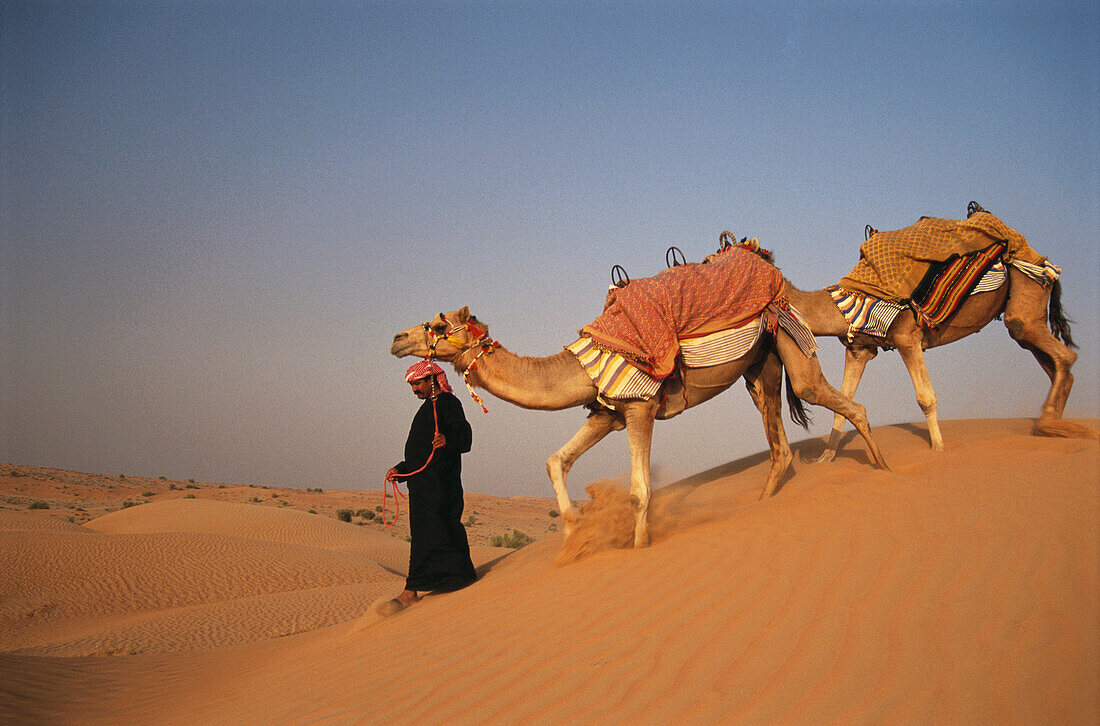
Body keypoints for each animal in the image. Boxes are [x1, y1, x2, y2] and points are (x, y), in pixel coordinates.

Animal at [391, 303, 888, 547]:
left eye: (438, 325)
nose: (397, 338)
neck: (582, 365)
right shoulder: (606, 412)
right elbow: (556, 460)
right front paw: (573, 533)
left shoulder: (640, 408)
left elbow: (639, 489)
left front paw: (638, 546)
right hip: (760, 365)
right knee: (780, 443)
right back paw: (765, 503)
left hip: (788, 341)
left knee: (841, 402)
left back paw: (886, 472)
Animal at [783, 264, 1091, 462]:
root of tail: (1046, 264)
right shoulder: (860, 349)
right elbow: (844, 402)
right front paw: (825, 458)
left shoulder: (907, 337)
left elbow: (925, 398)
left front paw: (939, 449)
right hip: (1025, 315)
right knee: (1054, 360)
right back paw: (1056, 426)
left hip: (1029, 295)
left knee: (1063, 355)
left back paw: (1049, 424)